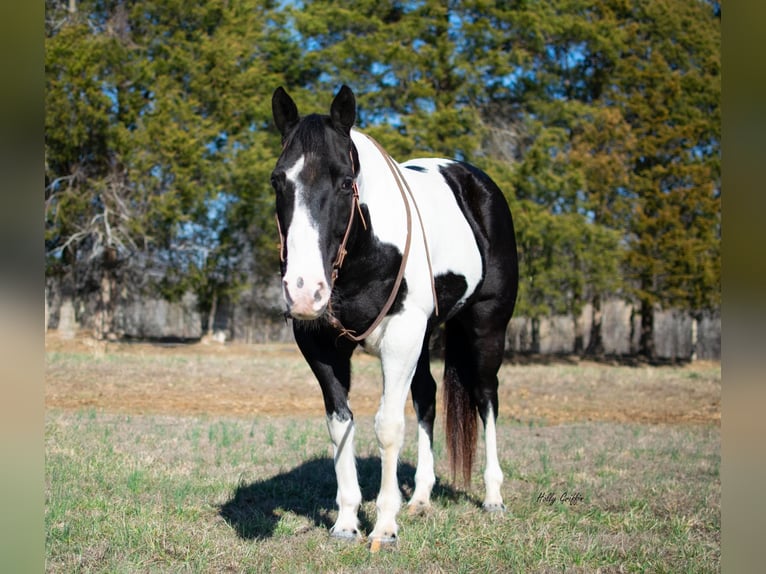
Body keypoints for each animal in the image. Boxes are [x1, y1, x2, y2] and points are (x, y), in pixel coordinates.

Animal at [272, 83, 520, 548]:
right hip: (424, 340)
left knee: (486, 398)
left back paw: (493, 496)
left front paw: (385, 524)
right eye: (278, 181)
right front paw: (346, 521)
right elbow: (341, 425)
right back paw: (421, 497)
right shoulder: (320, 345)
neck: (365, 250)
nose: (304, 291)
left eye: (346, 181)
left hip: (485, 329)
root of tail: (475, 183)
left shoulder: (401, 337)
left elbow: (388, 426)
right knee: (427, 397)